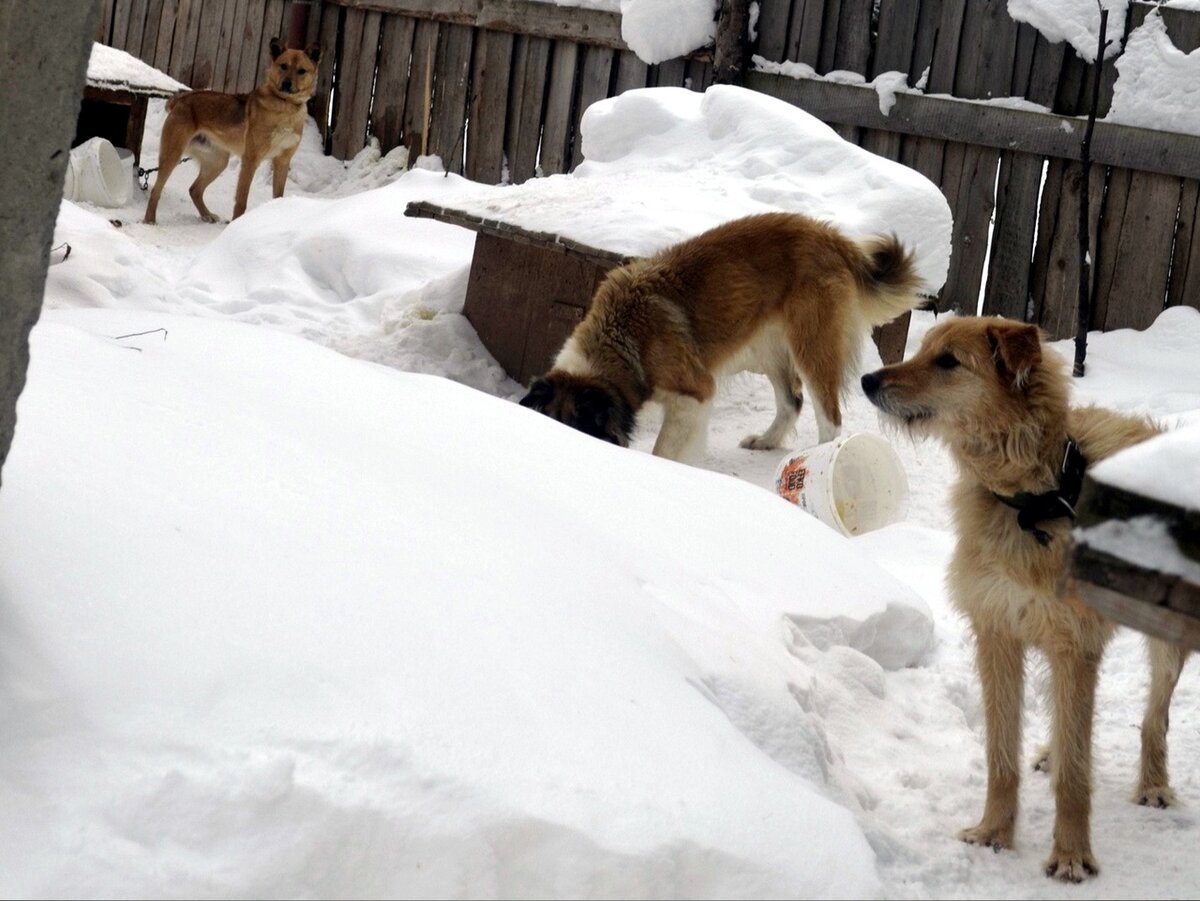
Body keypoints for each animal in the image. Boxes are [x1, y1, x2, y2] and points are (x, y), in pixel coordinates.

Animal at [143, 37, 321, 224]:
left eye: (301, 71)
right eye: (283, 66)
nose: (286, 84)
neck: (286, 106)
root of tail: (181, 100)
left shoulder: (283, 161)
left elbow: (278, 195)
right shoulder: (250, 160)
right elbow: (241, 200)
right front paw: (236, 224)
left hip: (218, 162)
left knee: (194, 189)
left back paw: (207, 215)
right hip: (173, 156)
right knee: (156, 190)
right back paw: (149, 219)